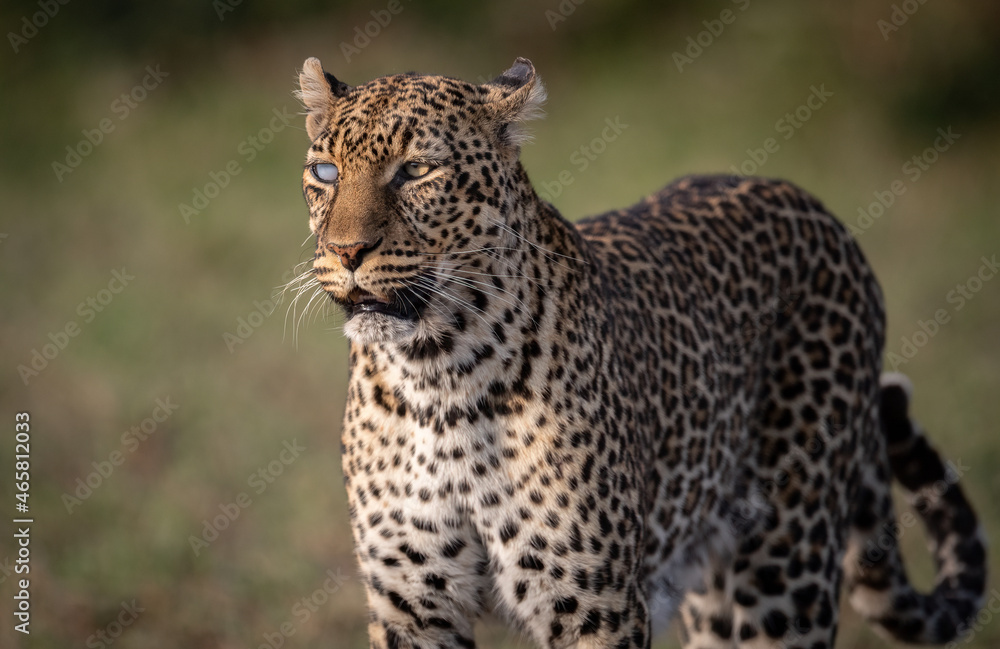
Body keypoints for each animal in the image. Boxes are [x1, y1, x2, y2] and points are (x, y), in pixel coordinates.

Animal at [293, 56, 987, 649]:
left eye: (417, 171)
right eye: (325, 174)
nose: (346, 252)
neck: (438, 374)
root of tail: (813, 206)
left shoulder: (594, 606)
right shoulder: (411, 604)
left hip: (787, 565)